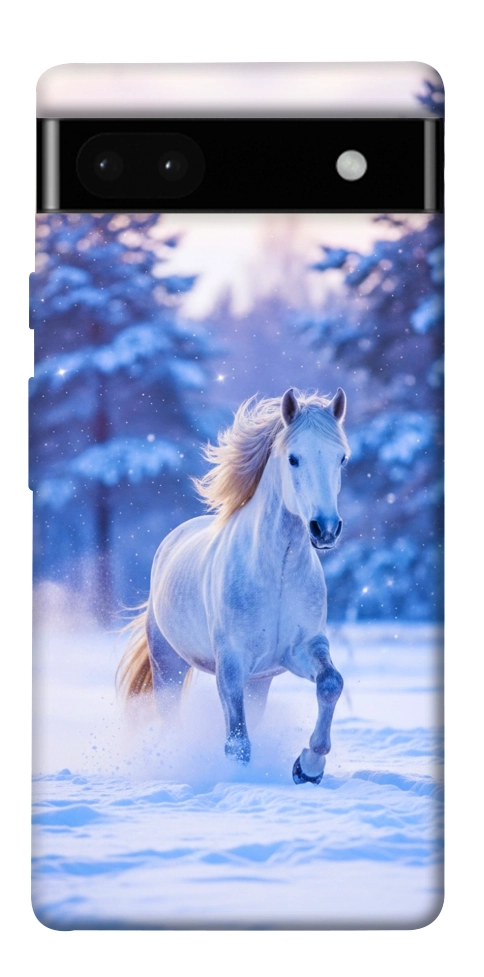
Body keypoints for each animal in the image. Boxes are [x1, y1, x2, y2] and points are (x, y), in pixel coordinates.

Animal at [118, 386, 350, 785]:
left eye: (341, 459)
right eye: (294, 458)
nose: (325, 529)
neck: (277, 573)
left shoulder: (302, 649)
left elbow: (331, 683)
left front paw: (308, 767)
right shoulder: (231, 664)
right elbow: (237, 742)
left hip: (259, 681)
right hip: (168, 665)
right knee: (171, 717)